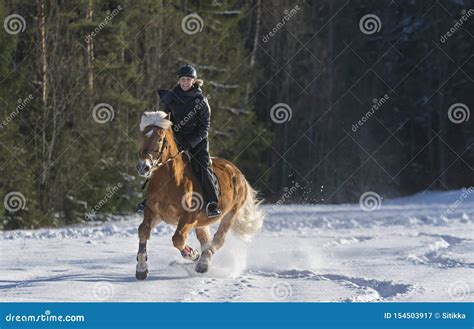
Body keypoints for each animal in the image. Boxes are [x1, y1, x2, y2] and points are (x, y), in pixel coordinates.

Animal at [135, 111, 264, 278]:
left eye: (159, 139)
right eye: (141, 137)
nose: (143, 167)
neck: (169, 181)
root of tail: (238, 173)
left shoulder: (189, 217)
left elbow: (178, 239)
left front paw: (193, 254)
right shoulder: (155, 212)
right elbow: (143, 230)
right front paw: (141, 268)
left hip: (230, 214)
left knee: (218, 240)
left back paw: (202, 262)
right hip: (202, 222)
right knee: (205, 240)